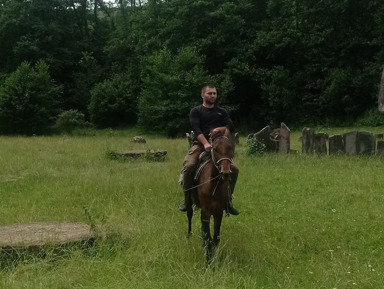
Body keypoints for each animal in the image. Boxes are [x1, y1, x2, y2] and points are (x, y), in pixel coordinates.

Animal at [187, 129, 237, 264]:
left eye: (230, 148)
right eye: (215, 148)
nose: (226, 173)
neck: (213, 184)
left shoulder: (218, 212)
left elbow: (215, 239)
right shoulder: (206, 212)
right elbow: (208, 239)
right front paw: (208, 263)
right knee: (189, 215)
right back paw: (189, 235)